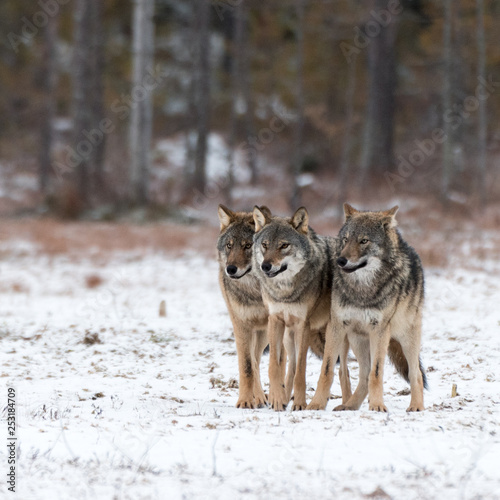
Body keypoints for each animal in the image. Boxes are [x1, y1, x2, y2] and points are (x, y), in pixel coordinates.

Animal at [219, 205, 274, 408]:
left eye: (248, 246)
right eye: (229, 245)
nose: (230, 269)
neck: (255, 293)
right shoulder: (240, 324)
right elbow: (247, 366)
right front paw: (244, 401)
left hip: (263, 332)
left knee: (257, 359)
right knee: (253, 361)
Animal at [250, 206, 352, 410]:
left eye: (284, 246)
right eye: (265, 245)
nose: (266, 266)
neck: (285, 291)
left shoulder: (303, 325)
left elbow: (301, 371)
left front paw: (299, 403)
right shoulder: (275, 320)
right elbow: (275, 366)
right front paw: (276, 398)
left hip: (336, 337)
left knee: (343, 372)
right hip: (289, 337)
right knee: (290, 368)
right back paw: (284, 398)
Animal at [308, 202, 430, 410]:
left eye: (364, 241)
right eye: (346, 239)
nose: (341, 260)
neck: (362, 290)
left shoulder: (379, 329)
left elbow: (377, 372)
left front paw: (377, 406)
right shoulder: (336, 325)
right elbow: (327, 369)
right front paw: (316, 404)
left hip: (407, 339)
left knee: (416, 374)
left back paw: (416, 406)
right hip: (357, 339)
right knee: (363, 375)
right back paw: (348, 406)